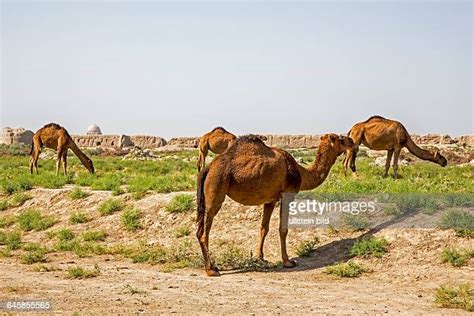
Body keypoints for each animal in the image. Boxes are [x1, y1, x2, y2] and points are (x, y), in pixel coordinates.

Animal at [196, 132, 356, 276]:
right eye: (340, 138)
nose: (352, 141)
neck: (301, 173)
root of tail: (208, 168)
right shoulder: (287, 195)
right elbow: (283, 229)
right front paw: (288, 261)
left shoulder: (270, 200)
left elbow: (263, 228)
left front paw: (260, 258)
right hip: (216, 187)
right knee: (204, 232)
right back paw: (211, 270)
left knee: (199, 230)